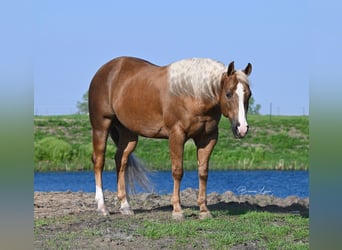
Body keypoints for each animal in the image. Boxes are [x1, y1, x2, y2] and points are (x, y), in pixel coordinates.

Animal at [89, 56, 252, 219]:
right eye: (229, 93)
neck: (193, 94)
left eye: (249, 94)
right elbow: (177, 171)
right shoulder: (176, 135)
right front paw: (177, 210)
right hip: (101, 126)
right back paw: (102, 207)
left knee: (121, 161)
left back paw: (125, 206)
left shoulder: (207, 138)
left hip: (129, 134)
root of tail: (105, 70)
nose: (242, 128)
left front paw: (204, 210)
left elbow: (203, 172)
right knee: (99, 162)